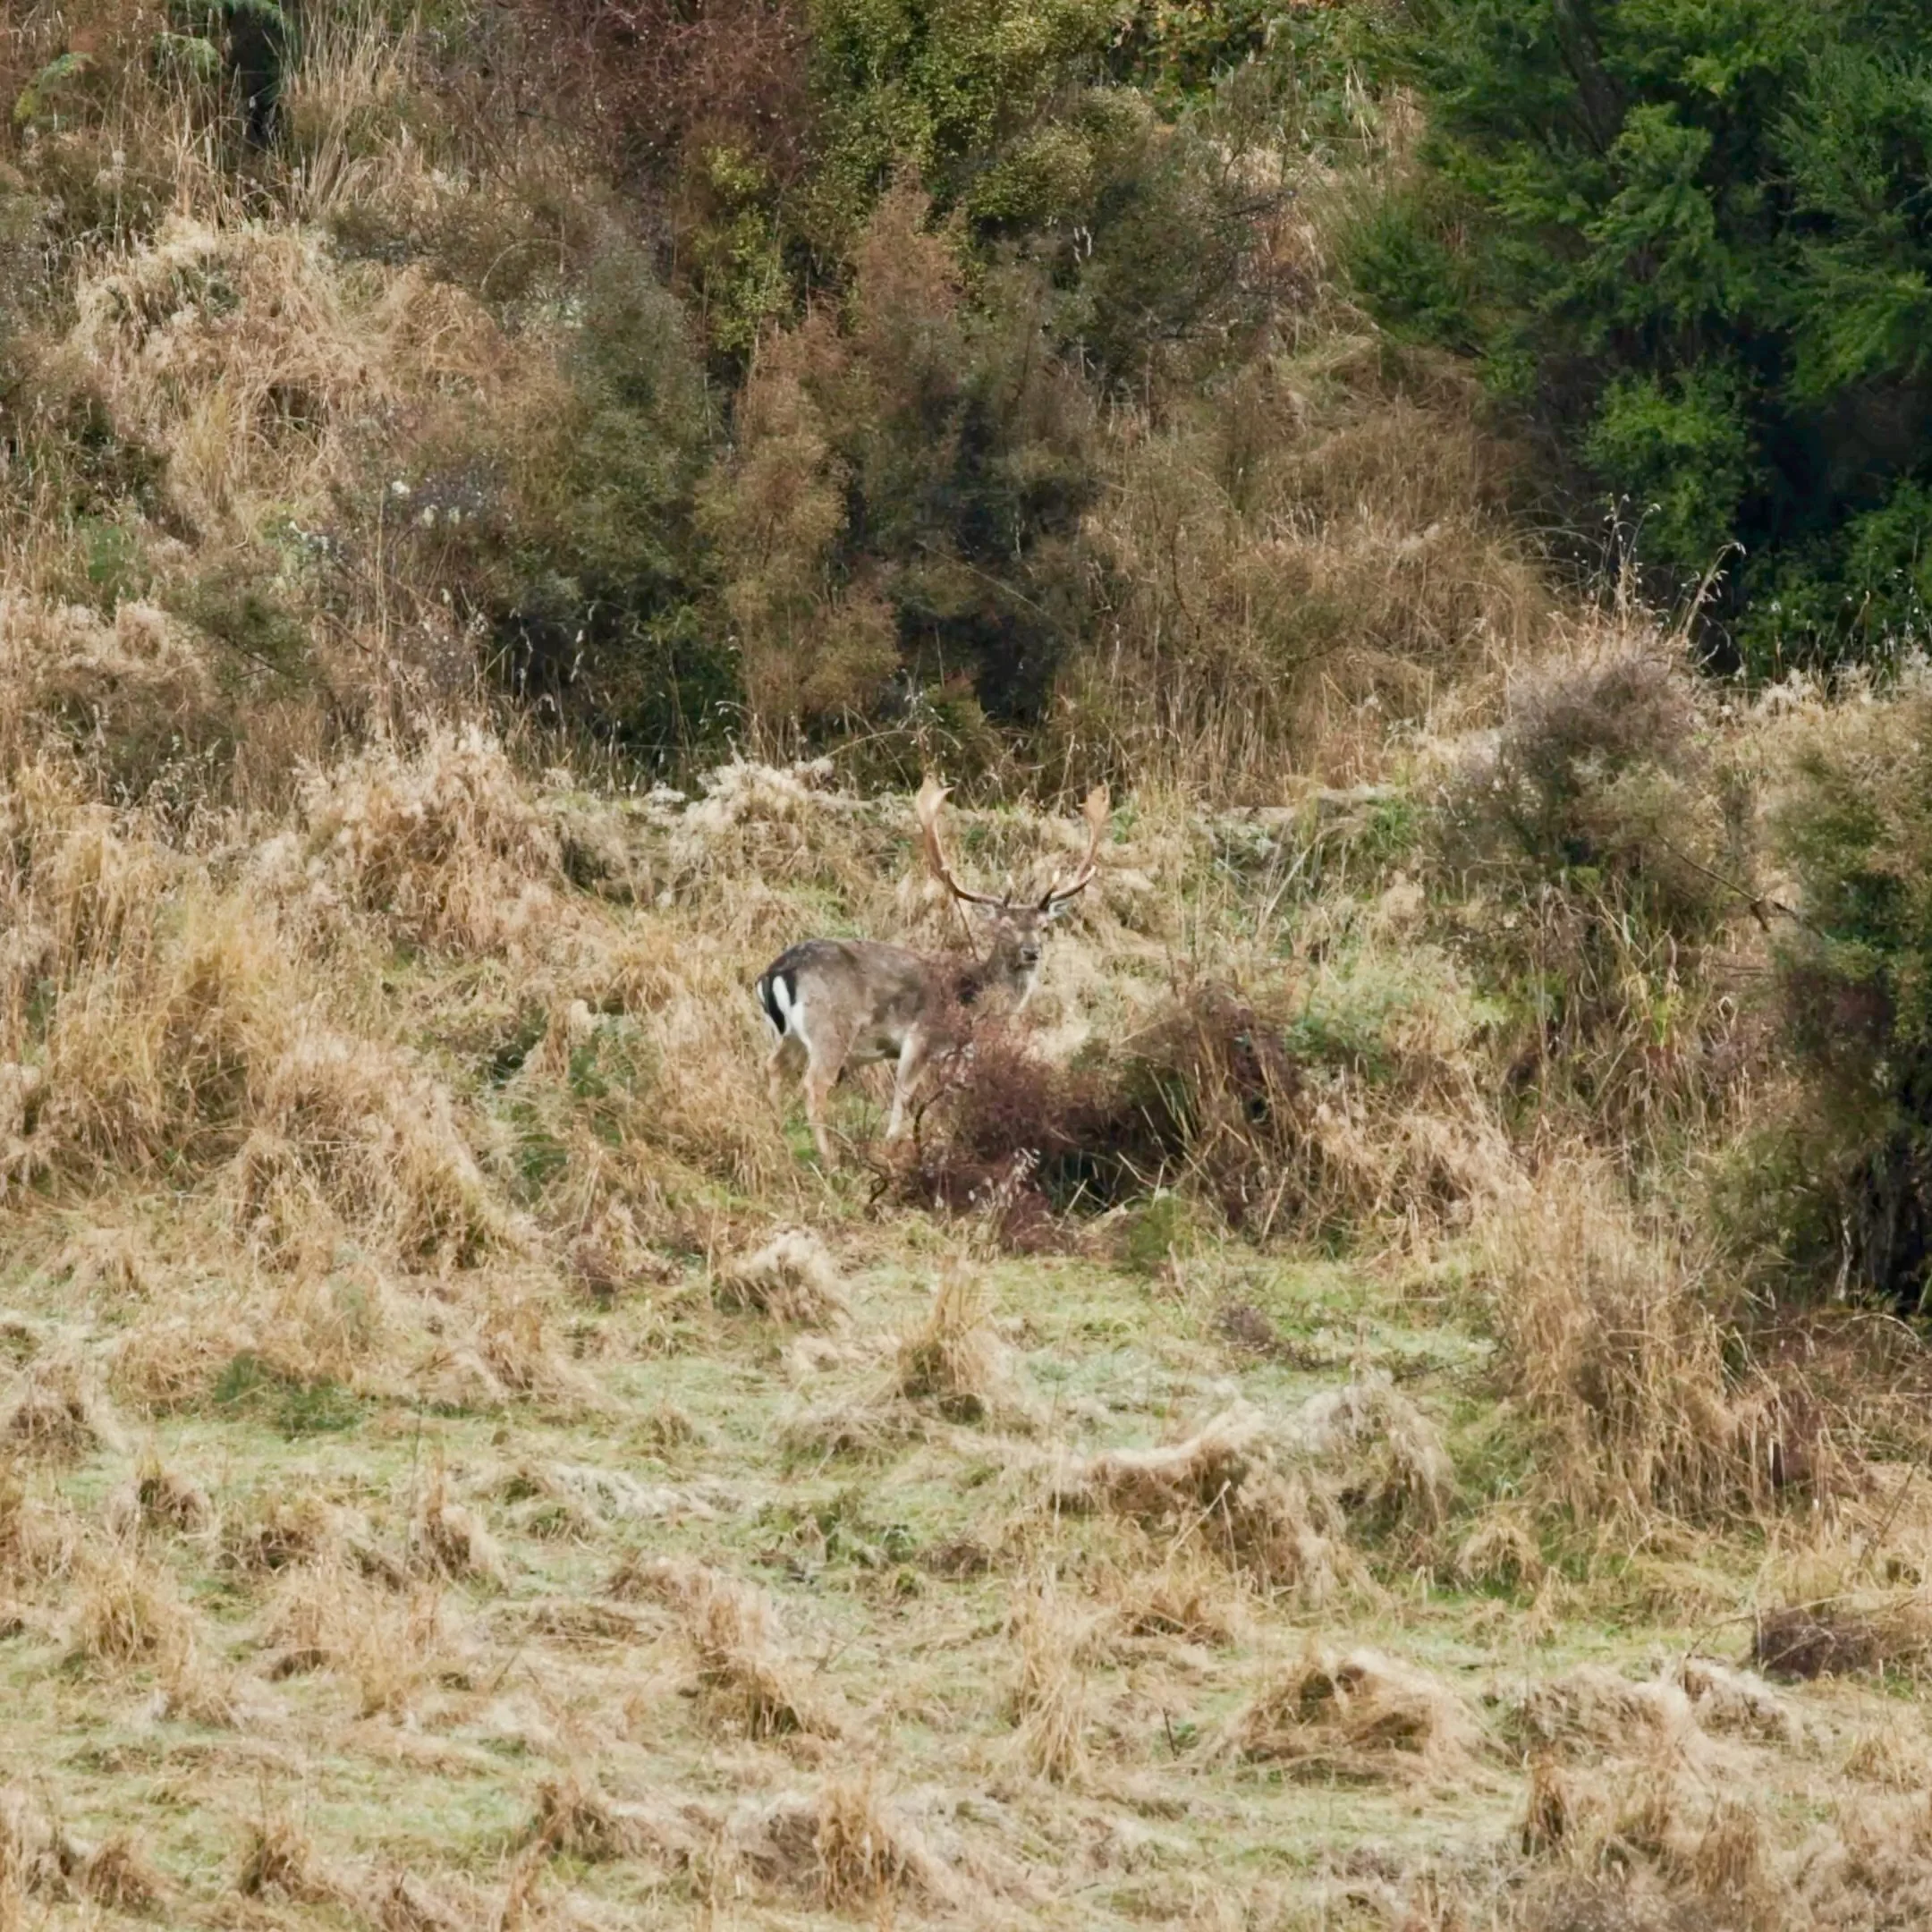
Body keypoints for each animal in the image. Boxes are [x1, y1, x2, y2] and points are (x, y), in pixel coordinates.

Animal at [754, 777, 1109, 1164]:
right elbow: (902, 1098)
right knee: (814, 1085)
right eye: (1003, 928)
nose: (1031, 952)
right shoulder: (920, 1035)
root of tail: (774, 973)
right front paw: (896, 1149)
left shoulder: (962, 1052)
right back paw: (829, 1158)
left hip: (786, 1034)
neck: (975, 1002)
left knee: (772, 1068)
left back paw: (777, 1138)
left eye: (1044, 927)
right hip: (830, 1027)